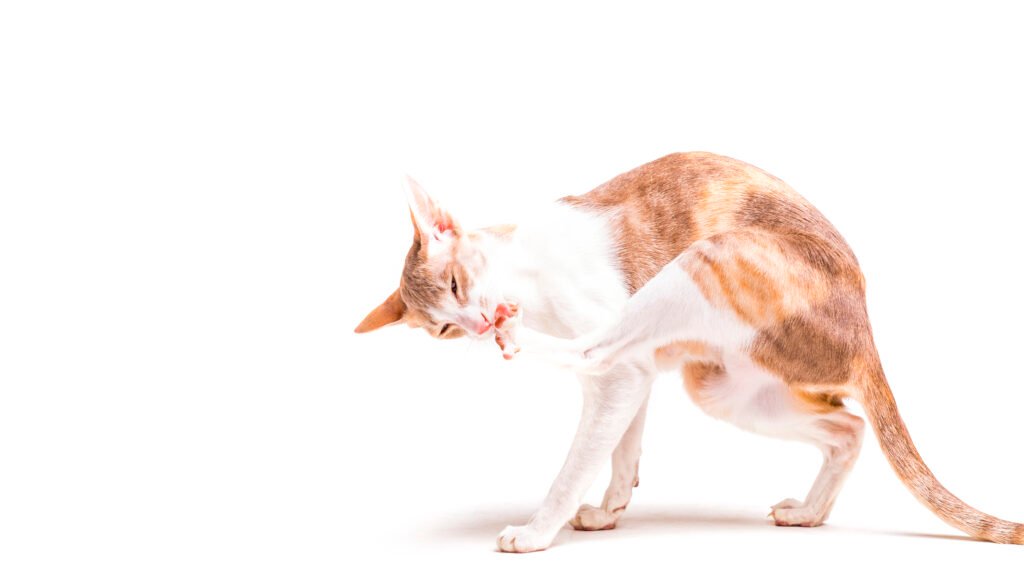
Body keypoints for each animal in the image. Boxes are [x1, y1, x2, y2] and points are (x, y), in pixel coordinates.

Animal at [354, 152, 1024, 553]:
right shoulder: (635, 381)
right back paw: (810, 513)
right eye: (441, 330)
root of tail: (864, 329)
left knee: (590, 350)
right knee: (848, 427)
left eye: (456, 284)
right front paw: (611, 509)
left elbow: (576, 460)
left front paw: (540, 531)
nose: (473, 324)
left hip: (708, 258)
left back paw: (518, 339)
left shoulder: (623, 372)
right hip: (722, 388)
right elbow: (619, 450)